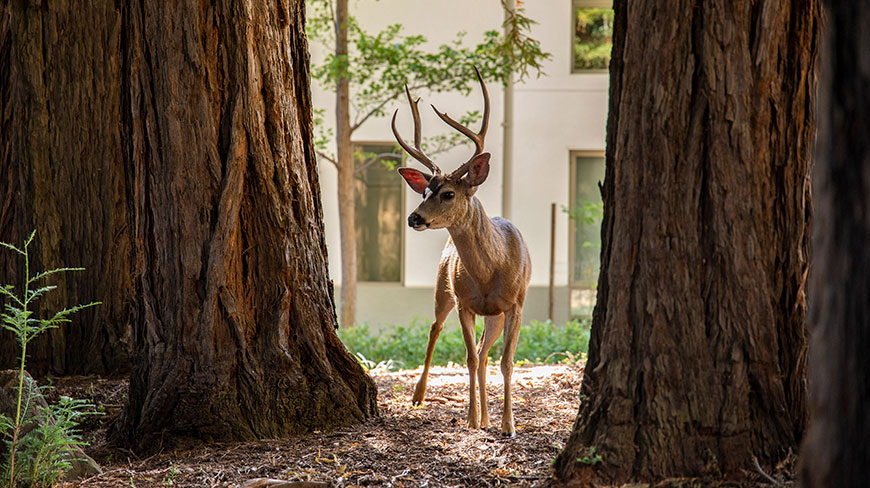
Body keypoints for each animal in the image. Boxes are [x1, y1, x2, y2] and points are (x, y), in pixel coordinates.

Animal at [394, 66, 532, 436]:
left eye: (448, 194)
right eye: (425, 190)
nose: (414, 217)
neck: (489, 274)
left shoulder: (516, 304)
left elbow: (506, 361)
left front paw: (507, 425)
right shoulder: (463, 303)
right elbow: (468, 358)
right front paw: (471, 419)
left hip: (496, 315)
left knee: (486, 354)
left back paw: (488, 417)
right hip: (443, 290)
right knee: (437, 330)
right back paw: (420, 395)